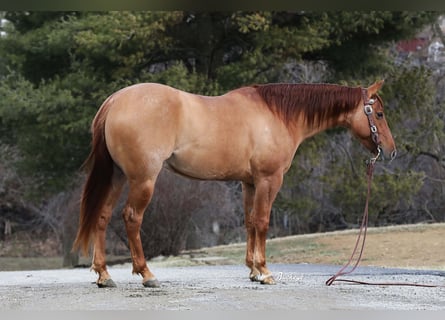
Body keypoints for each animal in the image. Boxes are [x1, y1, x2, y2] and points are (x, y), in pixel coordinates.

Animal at [73, 80, 396, 288]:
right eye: (379, 114)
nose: (391, 151)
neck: (277, 115)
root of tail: (115, 101)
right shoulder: (269, 180)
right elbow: (263, 222)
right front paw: (265, 271)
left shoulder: (248, 183)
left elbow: (250, 222)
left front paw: (253, 270)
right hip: (143, 180)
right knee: (132, 218)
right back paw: (147, 275)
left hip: (116, 176)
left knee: (102, 217)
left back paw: (104, 276)